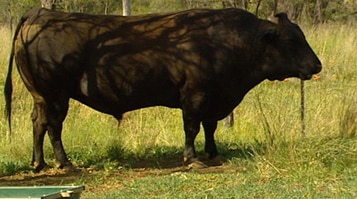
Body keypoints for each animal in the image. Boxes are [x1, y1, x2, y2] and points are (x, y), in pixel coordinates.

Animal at [4, 7, 322, 171]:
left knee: (38, 123)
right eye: (291, 40)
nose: (317, 65)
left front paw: (213, 152)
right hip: (56, 96)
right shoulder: (194, 96)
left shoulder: (215, 98)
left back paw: (38, 162)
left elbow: (210, 127)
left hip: (40, 96)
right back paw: (64, 163)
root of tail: (40, 14)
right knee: (53, 126)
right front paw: (192, 159)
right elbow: (192, 127)